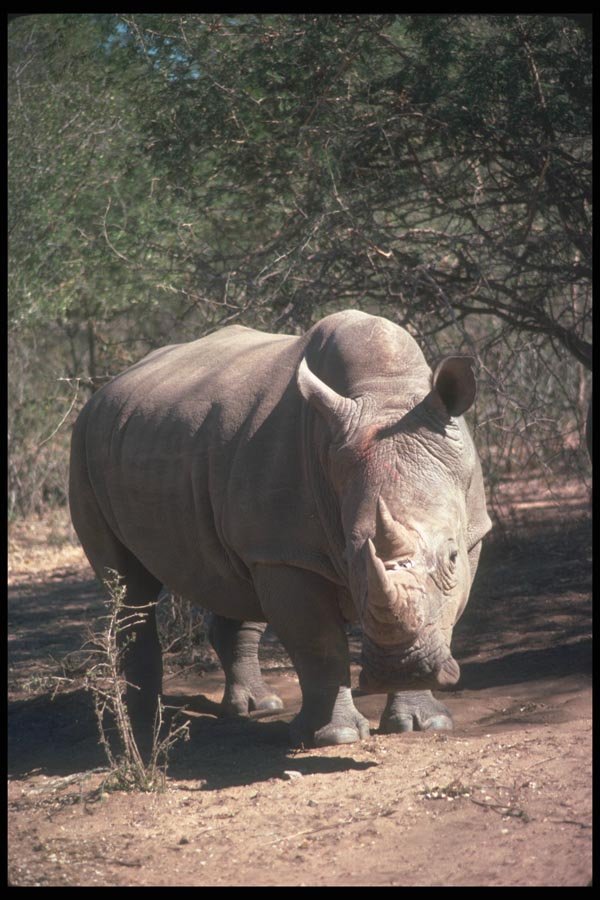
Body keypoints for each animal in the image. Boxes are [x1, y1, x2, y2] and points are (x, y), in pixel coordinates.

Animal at [69, 310, 491, 747]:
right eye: (349, 557)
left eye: (452, 556)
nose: (400, 669)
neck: (386, 393)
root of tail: (101, 392)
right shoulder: (289, 553)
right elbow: (318, 643)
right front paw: (336, 737)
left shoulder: (474, 528)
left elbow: (443, 614)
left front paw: (423, 723)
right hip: (82, 446)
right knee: (130, 588)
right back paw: (144, 724)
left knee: (233, 580)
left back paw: (258, 707)